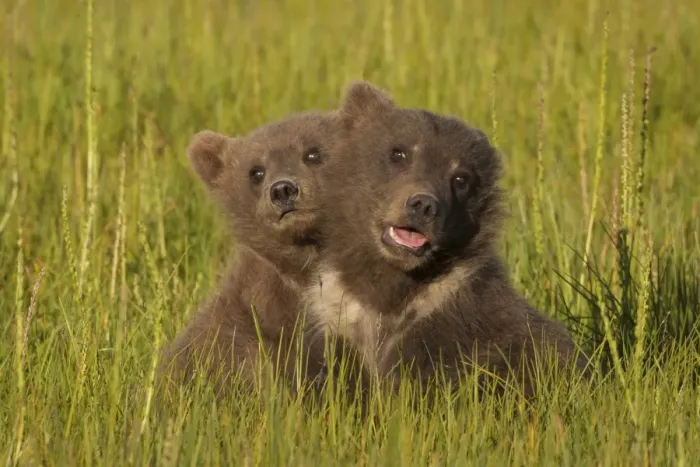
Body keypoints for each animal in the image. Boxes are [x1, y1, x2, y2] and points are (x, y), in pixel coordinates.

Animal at [303, 80, 589, 403]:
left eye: (461, 178)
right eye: (398, 153)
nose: (423, 205)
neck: (390, 286)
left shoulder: (453, 318)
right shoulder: (337, 316)